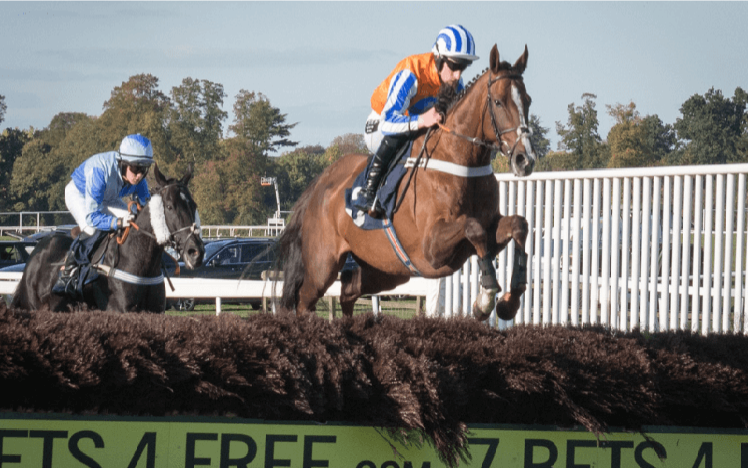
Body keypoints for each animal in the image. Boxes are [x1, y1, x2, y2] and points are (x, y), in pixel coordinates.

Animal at [280, 45, 532, 320]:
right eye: (498, 102)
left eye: (528, 100)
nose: (524, 159)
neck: (461, 160)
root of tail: (320, 184)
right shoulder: (432, 247)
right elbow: (473, 227)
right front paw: (485, 298)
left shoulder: (486, 232)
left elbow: (518, 224)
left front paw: (511, 299)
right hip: (322, 265)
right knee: (304, 300)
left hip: (384, 269)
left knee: (348, 289)